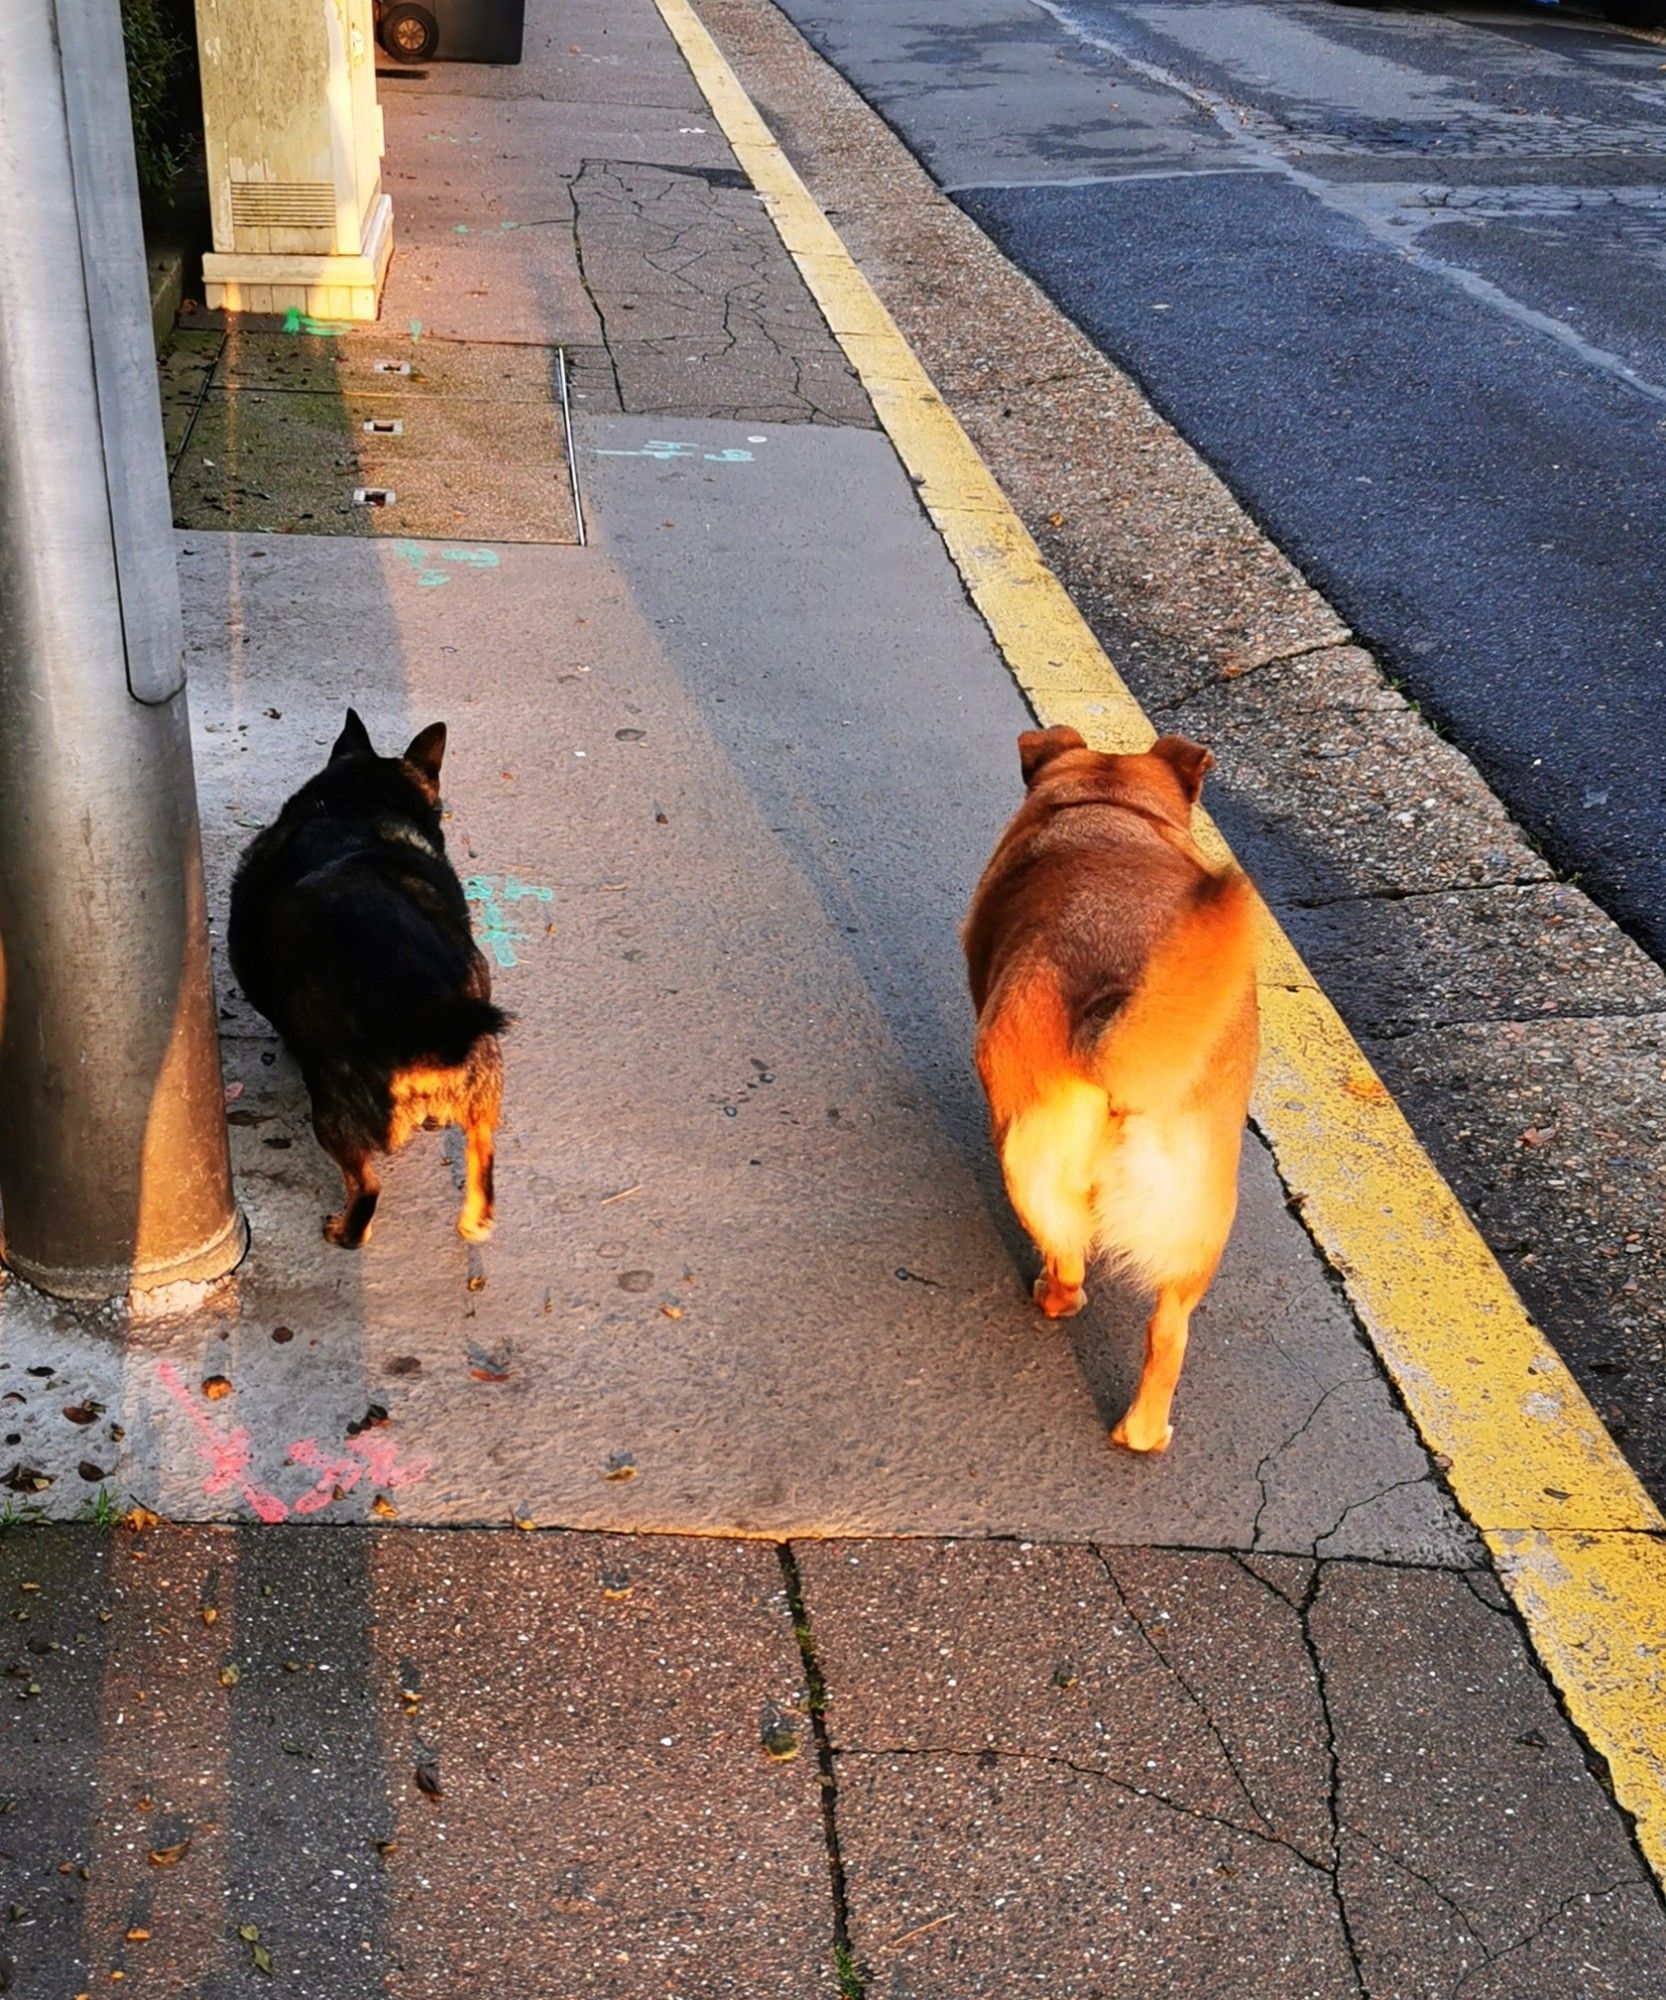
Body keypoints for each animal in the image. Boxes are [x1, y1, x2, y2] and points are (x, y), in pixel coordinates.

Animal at [226, 712, 508, 1248]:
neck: (356, 807)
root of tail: (424, 1018)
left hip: (334, 1114)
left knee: (366, 1190)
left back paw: (344, 1231)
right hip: (484, 1089)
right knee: (482, 1159)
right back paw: (475, 1218)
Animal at [960, 728, 1264, 1448]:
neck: (1111, 807)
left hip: (1029, 1165)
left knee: (1069, 1263)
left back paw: (1052, 1298)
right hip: (1202, 1221)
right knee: (1169, 1334)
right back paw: (1144, 1434)